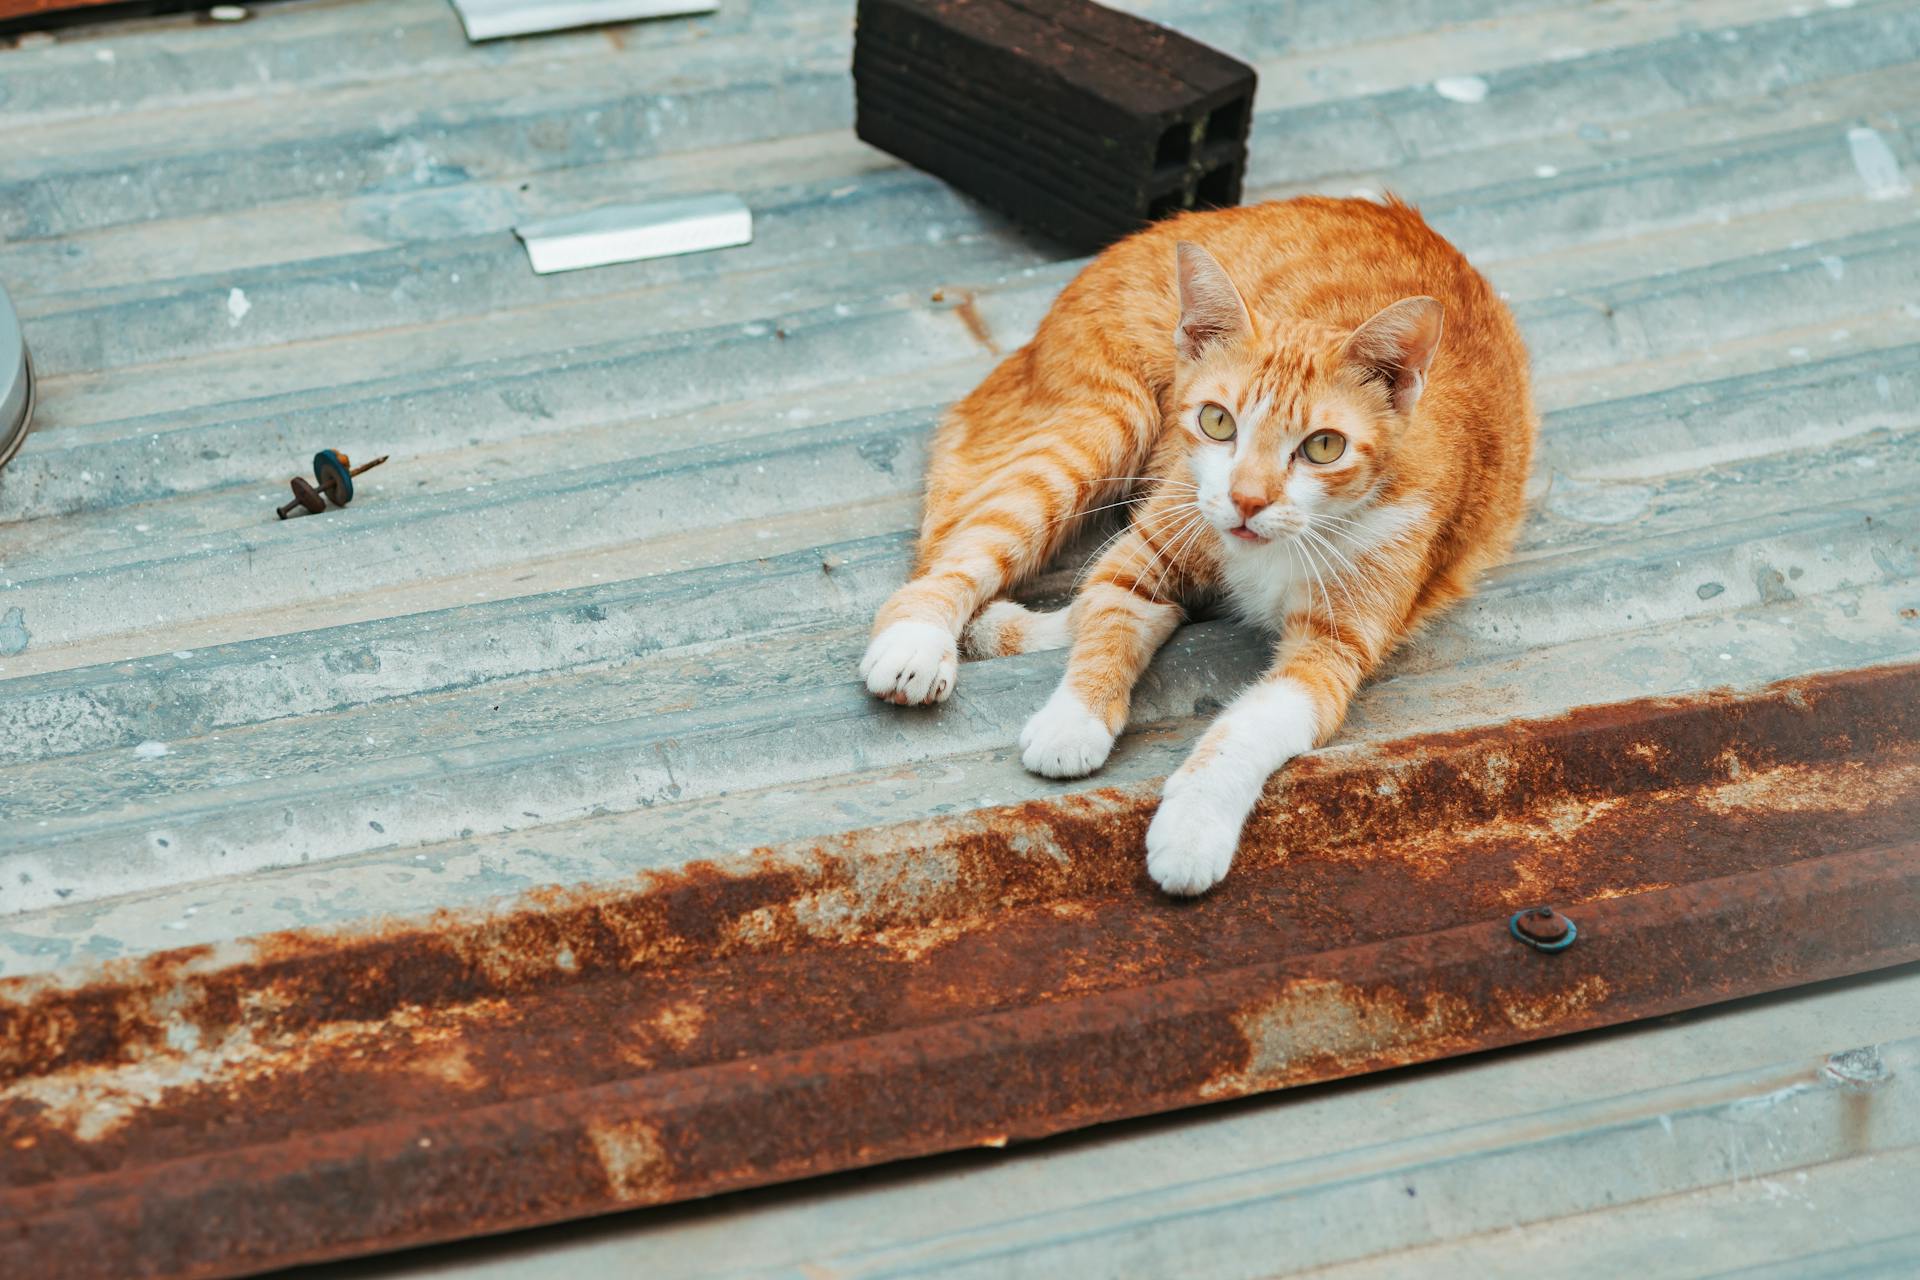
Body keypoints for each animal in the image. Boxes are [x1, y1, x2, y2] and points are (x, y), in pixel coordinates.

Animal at [864, 200, 1536, 898]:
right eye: (1218, 422)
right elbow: (1106, 624)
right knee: (951, 562)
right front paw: (1074, 721)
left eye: (1323, 447)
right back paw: (918, 641)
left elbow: (1248, 724)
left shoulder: (1333, 649)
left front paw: (1193, 827)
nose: (1246, 500)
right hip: (1099, 428)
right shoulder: (1143, 557)